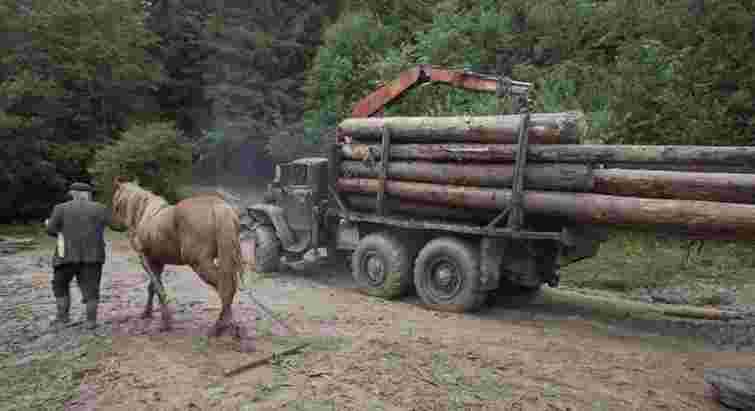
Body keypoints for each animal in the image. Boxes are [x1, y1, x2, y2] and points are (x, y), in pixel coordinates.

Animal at [110, 178, 245, 338]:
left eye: (115, 201)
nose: (113, 225)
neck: (144, 214)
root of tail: (219, 208)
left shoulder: (147, 260)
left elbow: (158, 287)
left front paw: (166, 322)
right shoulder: (158, 261)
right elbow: (152, 287)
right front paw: (148, 313)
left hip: (200, 263)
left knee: (224, 287)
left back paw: (218, 327)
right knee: (229, 287)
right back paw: (231, 326)